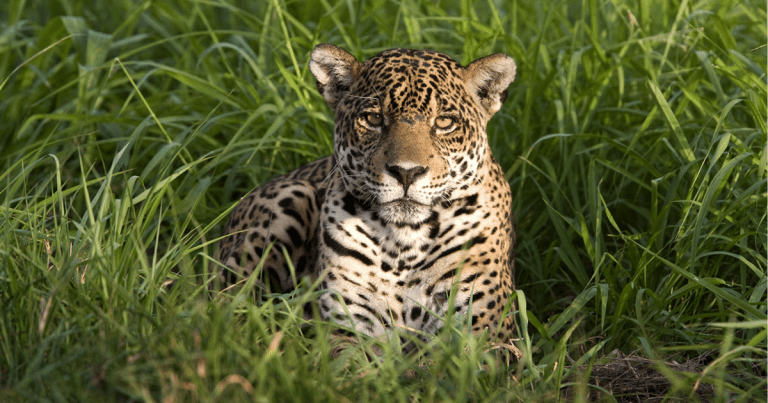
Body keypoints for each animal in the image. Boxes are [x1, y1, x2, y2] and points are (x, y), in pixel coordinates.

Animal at [218, 43, 518, 348]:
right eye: (373, 119)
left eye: (445, 122)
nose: (406, 172)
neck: (404, 243)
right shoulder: (350, 329)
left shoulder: (486, 335)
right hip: (291, 196)